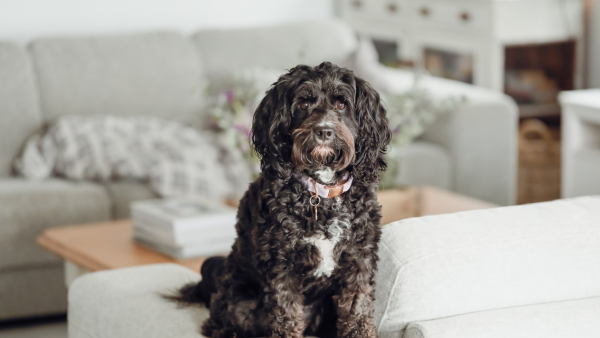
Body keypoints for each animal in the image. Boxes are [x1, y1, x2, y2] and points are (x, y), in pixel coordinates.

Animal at [172, 61, 394, 338]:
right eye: (304, 104)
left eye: (342, 104)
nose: (323, 131)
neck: (321, 192)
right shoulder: (281, 263)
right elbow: (285, 315)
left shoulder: (358, 258)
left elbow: (357, 309)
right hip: (238, 299)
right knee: (218, 324)